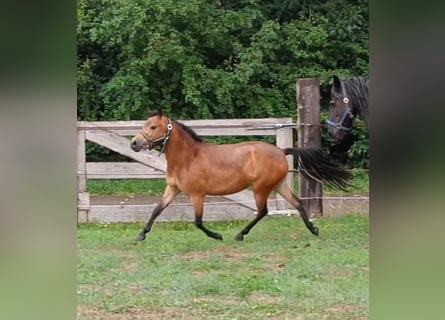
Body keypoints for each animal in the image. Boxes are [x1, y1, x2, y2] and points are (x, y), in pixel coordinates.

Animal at [130, 111, 352, 241]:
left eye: (153, 127)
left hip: (261, 188)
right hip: (279, 185)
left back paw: (240, 234)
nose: (134, 143)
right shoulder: (173, 189)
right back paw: (313, 230)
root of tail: (281, 151)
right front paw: (141, 234)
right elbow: (157, 210)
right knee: (297, 203)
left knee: (263, 211)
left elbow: (198, 221)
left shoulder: (197, 195)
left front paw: (217, 235)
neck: (188, 158)